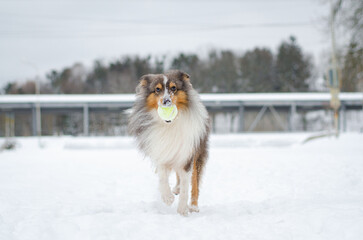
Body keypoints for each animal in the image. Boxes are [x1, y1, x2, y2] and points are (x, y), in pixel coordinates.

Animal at [129, 69, 210, 216]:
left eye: (173, 88)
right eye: (157, 89)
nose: (166, 101)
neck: (169, 124)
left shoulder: (187, 154)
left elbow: (187, 184)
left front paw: (182, 210)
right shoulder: (161, 150)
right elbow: (162, 176)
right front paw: (167, 198)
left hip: (198, 151)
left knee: (195, 181)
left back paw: (193, 206)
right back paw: (176, 189)